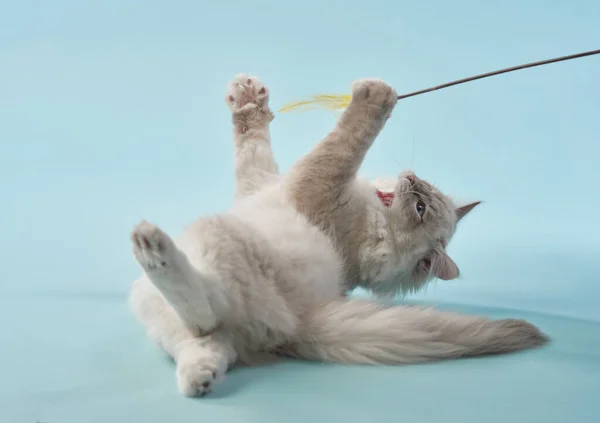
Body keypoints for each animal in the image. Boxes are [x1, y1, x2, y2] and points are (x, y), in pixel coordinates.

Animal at [127, 75, 548, 398]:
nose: (412, 179)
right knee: (209, 341)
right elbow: (253, 144)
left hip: (218, 240)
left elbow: (343, 144)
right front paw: (248, 97)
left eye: (420, 208)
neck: (368, 228)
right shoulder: (261, 184)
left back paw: (152, 247)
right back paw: (200, 379)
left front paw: (376, 94)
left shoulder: (313, 184)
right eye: (425, 193)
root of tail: (304, 322)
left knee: (203, 310)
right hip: (164, 308)